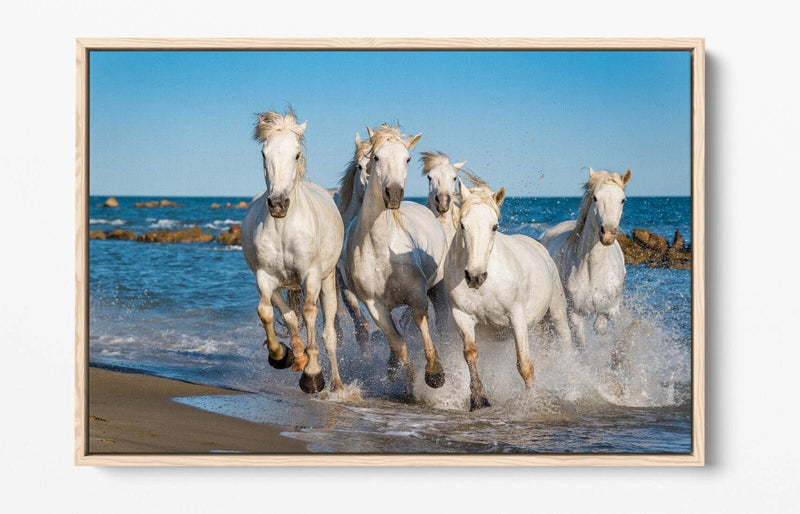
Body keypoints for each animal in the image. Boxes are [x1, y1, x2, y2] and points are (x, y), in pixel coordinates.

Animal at [241, 110, 345, 394]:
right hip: (280, 285)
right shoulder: (264, 277)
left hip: (327, 281)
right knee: (287, 315)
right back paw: (296, 356)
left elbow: (310, 313)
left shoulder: (311, 276)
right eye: (264, 153)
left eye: (296, 154)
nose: (278, 204)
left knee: (329, 334)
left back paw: (337, 385)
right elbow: (268, 313)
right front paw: (281, 355)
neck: (283, 227)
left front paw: (313, 375)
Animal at [342, 124, 449, 392]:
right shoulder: (375, 306)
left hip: (437, 288)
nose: (393, 194)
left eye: (407, 159)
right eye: (376, 158)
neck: (381, 248)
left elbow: (420, 321)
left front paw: (435, 373)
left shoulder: (417, 292)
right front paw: (410, 385)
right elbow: (398, 343)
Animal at [444, 178, 573, 411]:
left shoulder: (516, 316)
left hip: (557, 313)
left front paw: (532, 401)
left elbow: (524, 364)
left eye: (494, 226)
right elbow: (470, 354)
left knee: (565, 344)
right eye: (463, 225)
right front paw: (478, 400)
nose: (475, 276)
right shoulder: (462, 316)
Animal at [540, 168, 632, 351]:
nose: (608, 234)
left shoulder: (613, 310)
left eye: (622, 199)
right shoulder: (575, 316)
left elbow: (612, 333)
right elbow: (582, 348)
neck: (593, 270)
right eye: (595, 197)